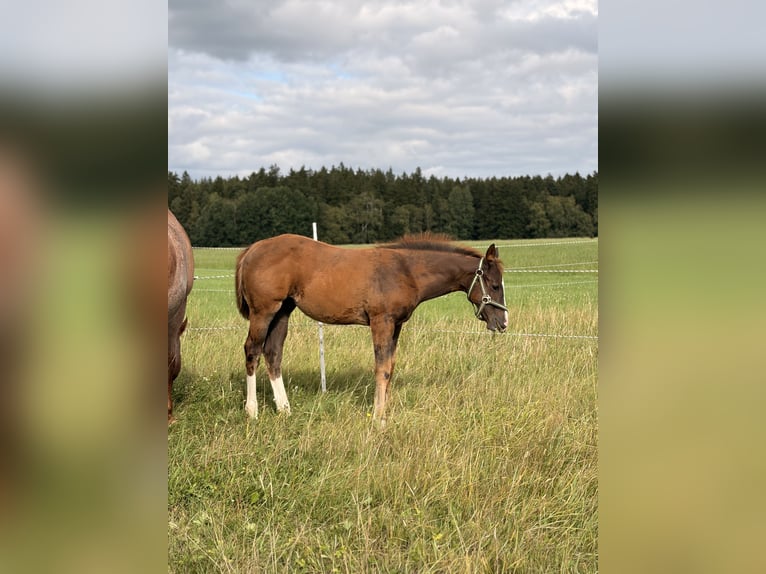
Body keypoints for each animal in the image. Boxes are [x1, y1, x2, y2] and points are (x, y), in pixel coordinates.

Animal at [235, 233, 508, 426]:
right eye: (495, 285)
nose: (503, 323)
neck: (406, 271)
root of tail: (252, 249)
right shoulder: (381, 321)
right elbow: (382, 368)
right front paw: (378, 418)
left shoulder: (396, 325)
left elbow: (390, 367)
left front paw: (384, 413)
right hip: (263, 311)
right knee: (252, 351)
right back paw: (252, 411)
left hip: (283, 311)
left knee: (273, 353)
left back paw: (285, 410)